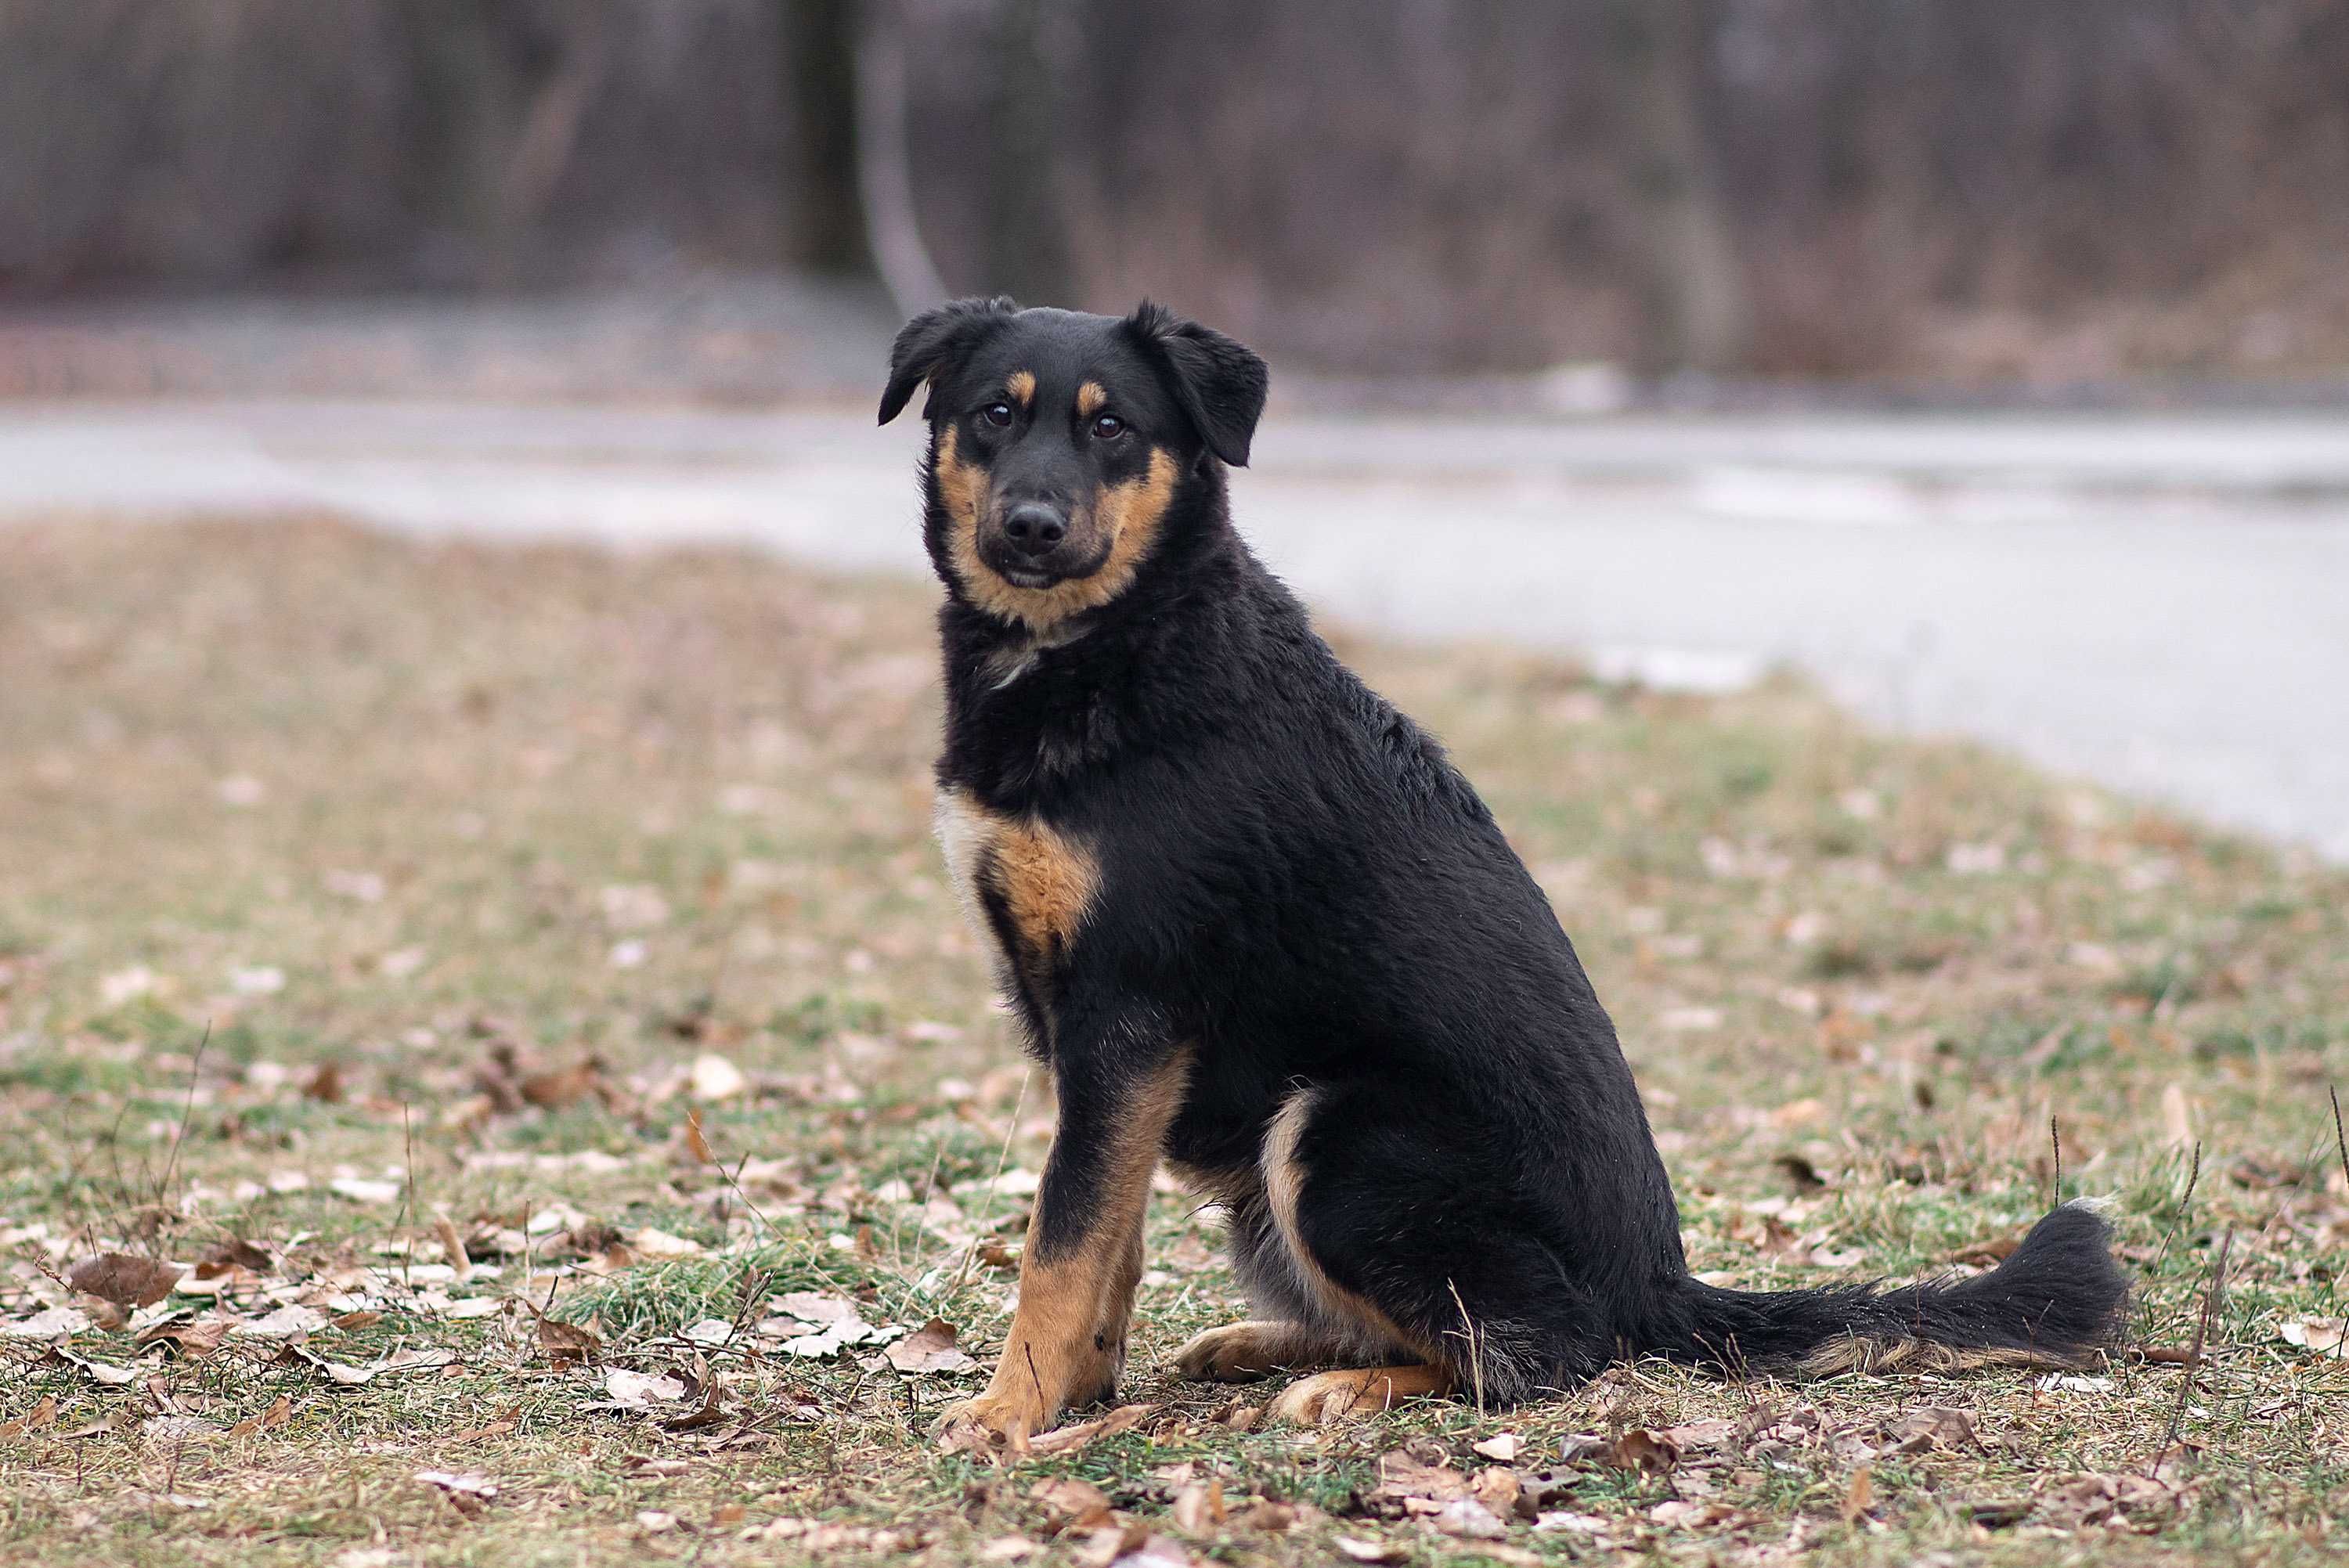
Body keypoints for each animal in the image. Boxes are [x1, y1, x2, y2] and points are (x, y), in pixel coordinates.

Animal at [883, 300, 2133, 1455]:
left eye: (1114, 428)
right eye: (995, 413)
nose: (1031, 526)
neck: (1109, 646)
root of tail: (1658, 1285)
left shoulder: (1128, 1013)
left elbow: (1060, 1239)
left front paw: (1008, 1409)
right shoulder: (1102, 1044)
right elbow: (1109, 1232)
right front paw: (1082, 1385)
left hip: (1335, 1137)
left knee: (1543, 1350)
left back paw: (1344, 1383)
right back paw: (1269, 1344)